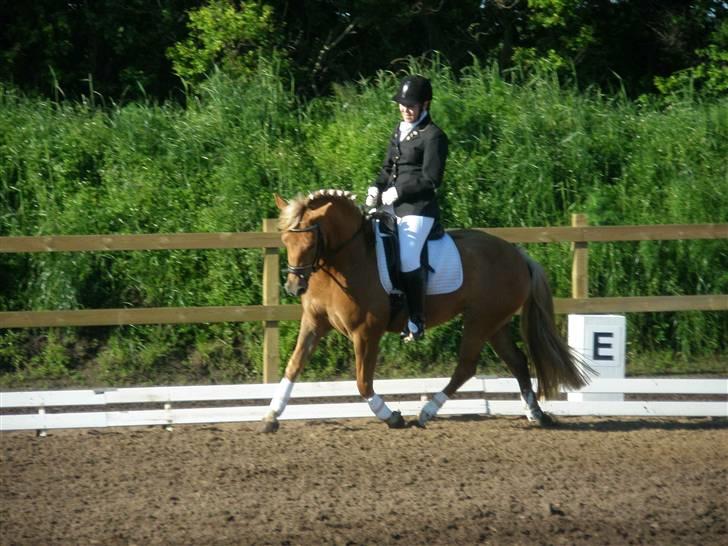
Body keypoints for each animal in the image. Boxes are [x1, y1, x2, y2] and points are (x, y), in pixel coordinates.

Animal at [260, 189, 591, 432]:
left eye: (309, 240)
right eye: (285, 240)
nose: (293, 287)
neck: (345, 259)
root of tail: (518, 254)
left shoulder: (366, 332)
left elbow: (363, 382)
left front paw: (392, 417)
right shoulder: (314, 322)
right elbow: (293, 366)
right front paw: (271, 415)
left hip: (479, 320)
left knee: (466, 367)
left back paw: (427, 412)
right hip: (495, 323)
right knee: (518, 362)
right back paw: (535, 414)